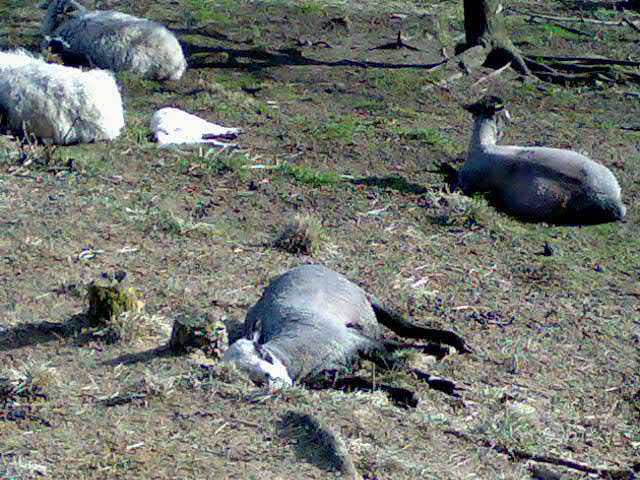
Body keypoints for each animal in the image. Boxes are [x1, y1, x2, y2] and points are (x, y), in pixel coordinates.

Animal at [222, 264, 468, 388]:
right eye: (246, 372)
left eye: (262, 351)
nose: (272, 378)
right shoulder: (332, 375)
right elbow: (364, 383)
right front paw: (407, 397)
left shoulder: (357, 343)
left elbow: (397, 366)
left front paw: (444, 384)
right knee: (390, 340)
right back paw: (439, 349)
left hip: (365, 301)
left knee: (402, 327)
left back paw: (454, 342)